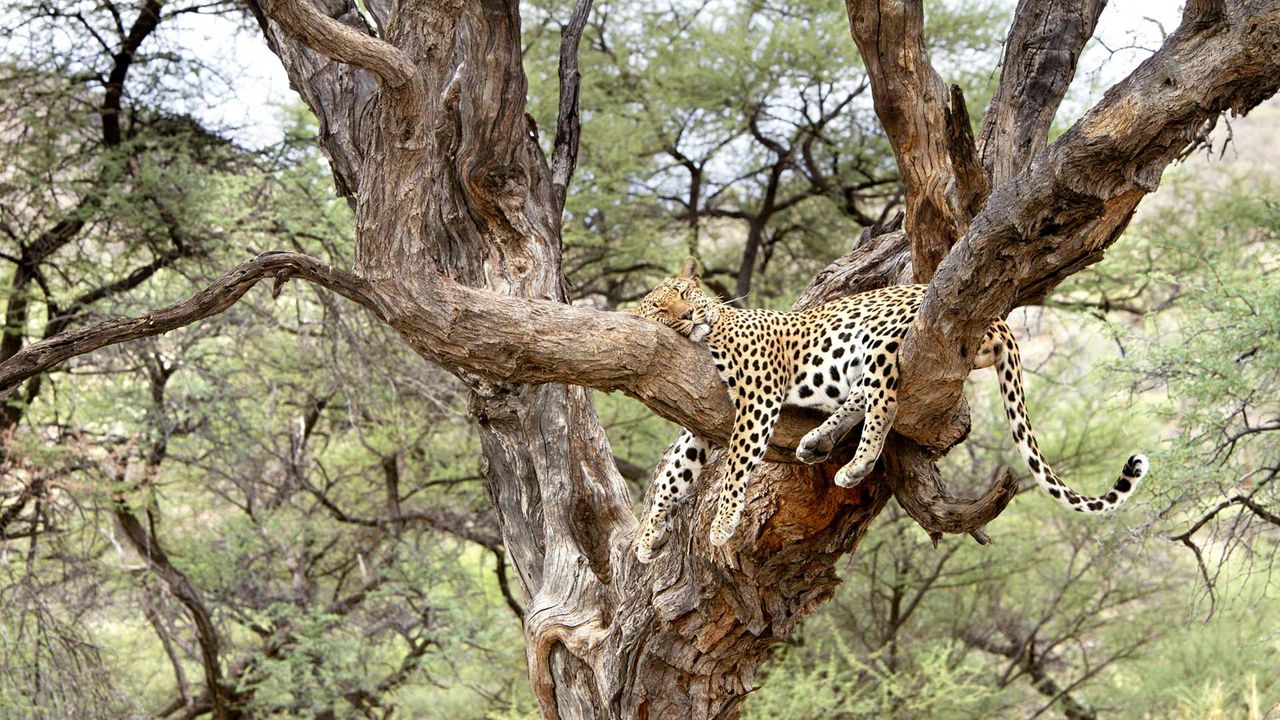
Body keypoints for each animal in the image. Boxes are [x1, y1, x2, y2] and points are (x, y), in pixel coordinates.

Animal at [630, 257, 1148, 563]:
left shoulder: (758, 398)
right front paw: (647, 535)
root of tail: (999, 318)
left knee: (885, 401)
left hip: (880, 339)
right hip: (859, 360)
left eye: (685, 295)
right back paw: (817, 442)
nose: (687, 316)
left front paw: (721, 525)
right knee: (862, 396)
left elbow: (737, 465)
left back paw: (855, 465)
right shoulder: (700, 421)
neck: (713, 330)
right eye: (659, 310)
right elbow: (674, 473)